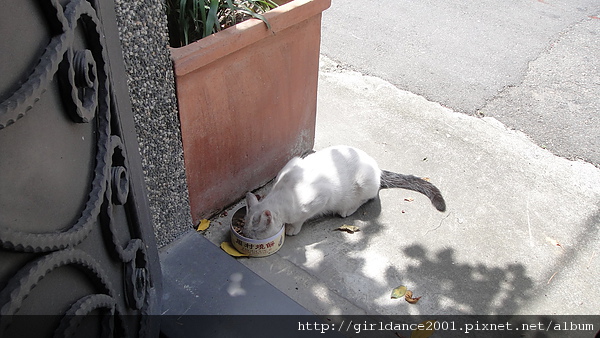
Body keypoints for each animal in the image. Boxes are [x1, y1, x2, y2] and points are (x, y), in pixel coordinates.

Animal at [243, 147, 446, 239]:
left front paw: (293, 228)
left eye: (253, 231)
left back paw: (347, 209)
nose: (245, 234)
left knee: (368, 197)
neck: (283, 192)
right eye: (244, 226)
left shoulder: (320, 197)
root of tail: (376, 166)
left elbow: (301, 218)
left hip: (364, 180)